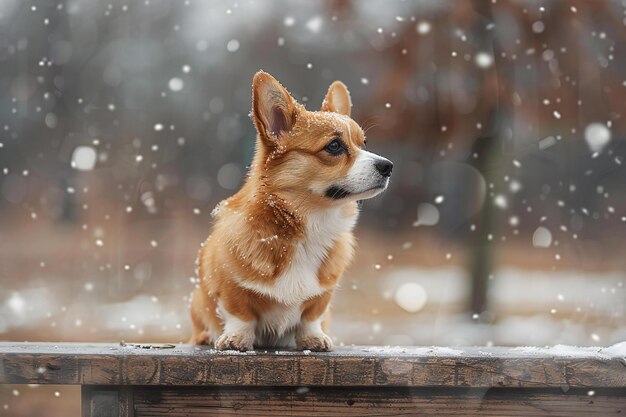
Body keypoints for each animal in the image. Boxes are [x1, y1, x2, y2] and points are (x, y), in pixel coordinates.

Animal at [189, 71, 390, 352]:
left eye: (364, 144)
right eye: (335, 146)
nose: (388, 166)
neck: (309, 225)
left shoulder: (323, 295)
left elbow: (311, 317)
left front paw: (314, 339)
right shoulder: (228, 286)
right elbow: (240, 314)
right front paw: (235, 339)